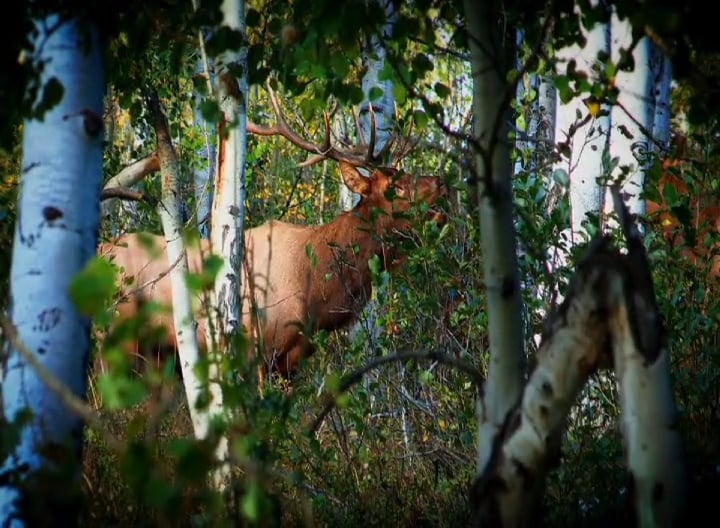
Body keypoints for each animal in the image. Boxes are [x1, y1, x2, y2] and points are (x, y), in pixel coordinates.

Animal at [97, 83, 447, 380]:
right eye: (394, 187)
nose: (441, 182)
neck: (316, 292)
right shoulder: (258, 347)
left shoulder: (294, 358)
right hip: (118, 341)